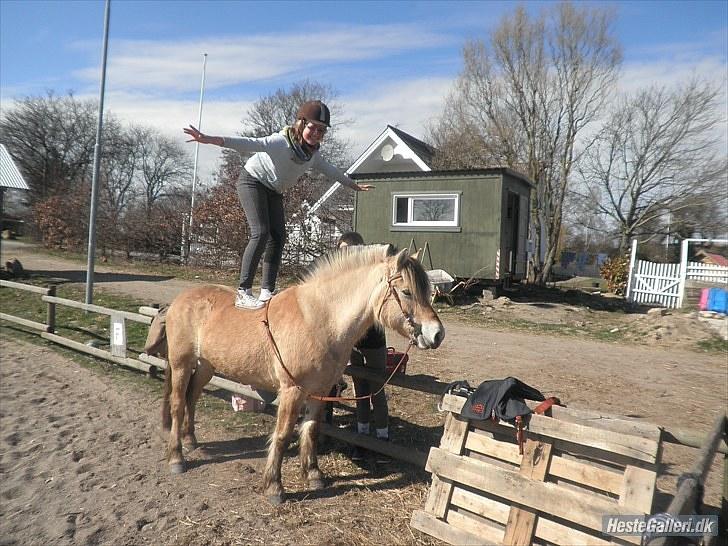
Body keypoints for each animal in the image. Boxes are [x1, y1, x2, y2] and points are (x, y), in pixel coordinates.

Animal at [146, 244, 444, 504]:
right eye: (406, 292)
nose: (437, 334)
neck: (319, 319)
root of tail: (179, 300)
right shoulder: (291, 391)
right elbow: (283, 434)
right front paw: (274, 487)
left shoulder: (320, 391)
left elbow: (310, 429)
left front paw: (313, 474)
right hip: (182, 363)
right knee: (177, 403)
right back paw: (177, 457)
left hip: (206, 366)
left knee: (192, 397)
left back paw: (190, 440)